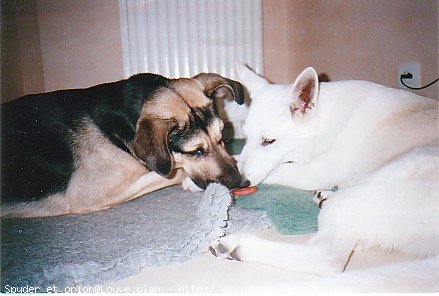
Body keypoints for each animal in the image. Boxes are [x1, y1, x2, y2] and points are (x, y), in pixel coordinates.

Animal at [211, 63, 439, 276]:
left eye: (269, 141)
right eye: (246, 137)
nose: (239, 182)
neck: (325, 121)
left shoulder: (315, 171)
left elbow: (277, 171)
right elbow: (236, 158)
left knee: (325, 256)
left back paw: (238, 245)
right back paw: (325, 198)